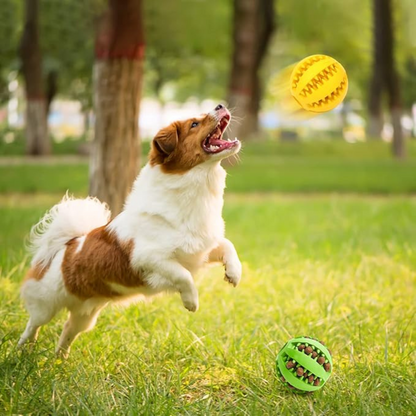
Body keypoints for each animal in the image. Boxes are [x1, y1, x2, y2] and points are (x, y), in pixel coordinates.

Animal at [17, 105, 242, 358]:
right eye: (194, 124)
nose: (220, 105)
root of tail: (66, 245)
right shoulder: (149, 258)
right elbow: (182, 275)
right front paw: (191, 302)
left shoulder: (200, 248)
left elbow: (227, 245)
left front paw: (234, 274)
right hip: (45, 305)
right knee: (33, 324)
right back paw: (22, 350)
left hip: (85, 315)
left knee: (68, 330)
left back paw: (60, 359)